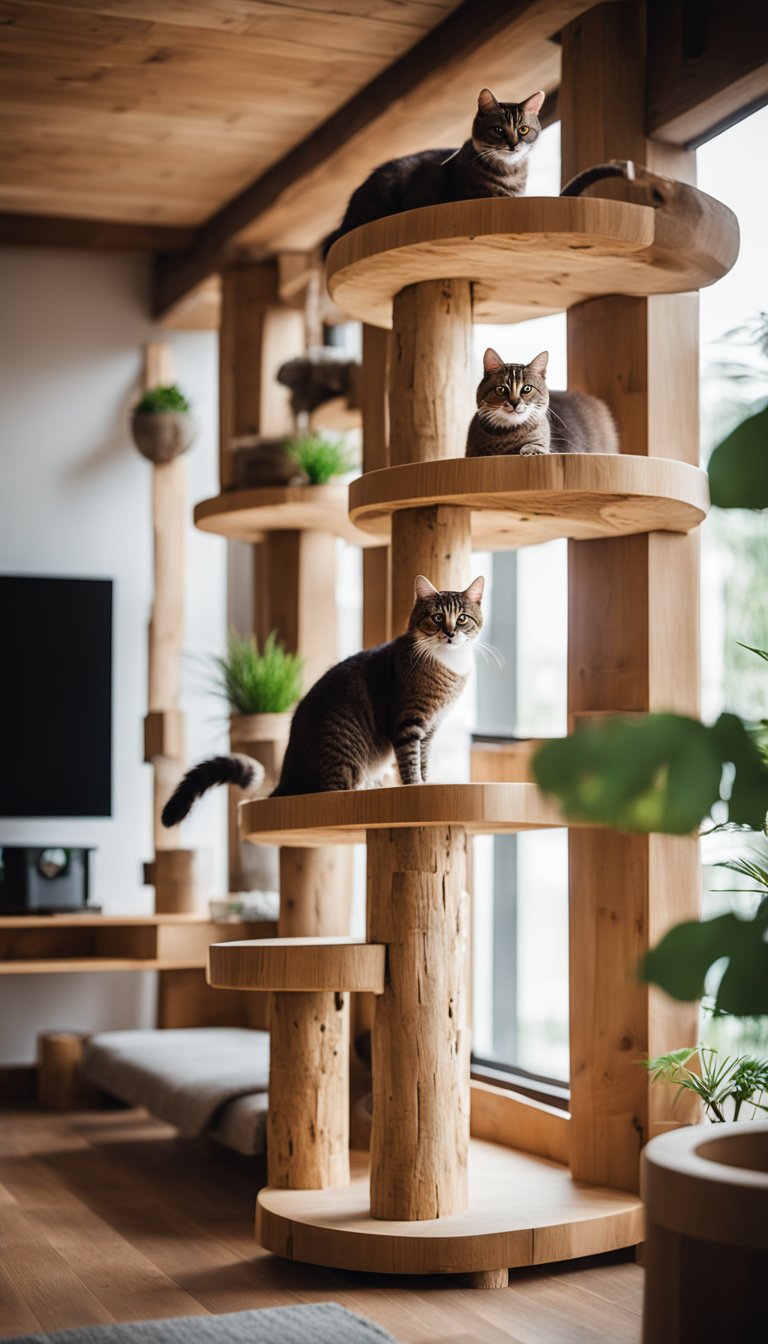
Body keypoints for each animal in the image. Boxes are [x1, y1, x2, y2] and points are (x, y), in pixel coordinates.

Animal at [160, 572, 486, 822]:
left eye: (462, 619)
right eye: (437, 617)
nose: (450, 633)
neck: (448, 664)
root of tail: (287, 777)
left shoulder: (430, 728)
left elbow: (424, 759)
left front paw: (427, 782)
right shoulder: (408, 721)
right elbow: (409, 760)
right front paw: (414, 787)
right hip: (344, 753)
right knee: (333, 788)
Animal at [462, 349, 618, 459]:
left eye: (527, 389)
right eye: (501, 389)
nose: (514, 402)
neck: (507, 434)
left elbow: (536, 444)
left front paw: (531, 450)